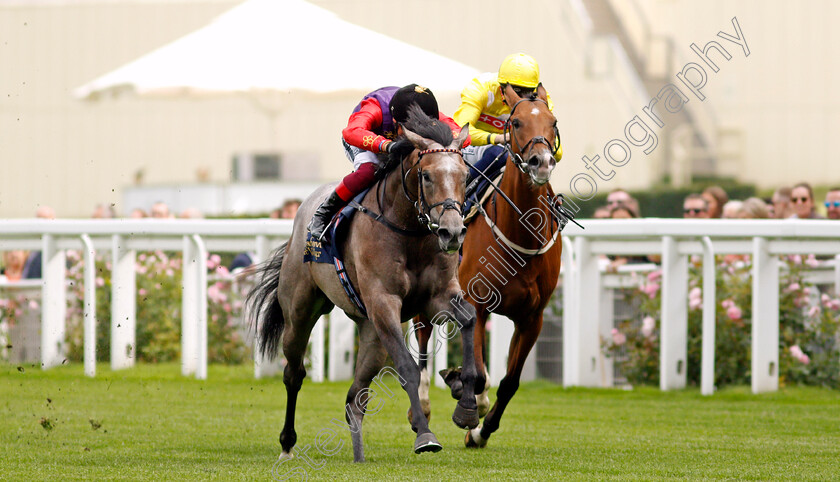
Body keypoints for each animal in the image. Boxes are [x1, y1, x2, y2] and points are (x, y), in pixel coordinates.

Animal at [244, 106, 480, 464]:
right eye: (426, 176)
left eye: (465, 176)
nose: (452, 233)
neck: (409, 230)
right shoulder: (383, 303)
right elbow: (407, 368)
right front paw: (425, 435)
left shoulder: (438, 297)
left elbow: (468, 319)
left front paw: (467, 408)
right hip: (300, 312)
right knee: (294, 373)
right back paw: (287, 444)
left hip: (371, 333)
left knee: (355, 398)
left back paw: (358, 454)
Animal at [414, 84, 564, 448]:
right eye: (517, 122)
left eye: (552, 122)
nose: (541, 162)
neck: (521, 234)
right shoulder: (477, 304)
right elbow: (480, 375)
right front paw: (470, 409)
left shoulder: (532, 317)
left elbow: (509, 382)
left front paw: (480, 432)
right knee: (422, 338)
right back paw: (423, 403)